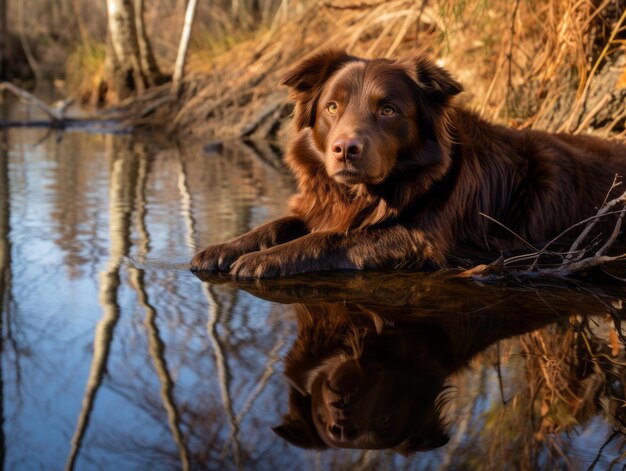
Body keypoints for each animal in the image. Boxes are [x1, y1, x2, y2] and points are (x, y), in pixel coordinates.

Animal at [190, 48, 624, 276]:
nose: (344, 149)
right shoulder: (321, 202)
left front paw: (262, 259)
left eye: (388, 110)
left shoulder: (421, 239)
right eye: (332, 107)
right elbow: (278, 223)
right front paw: (225, 248)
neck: (364, 194)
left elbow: (333, 237)